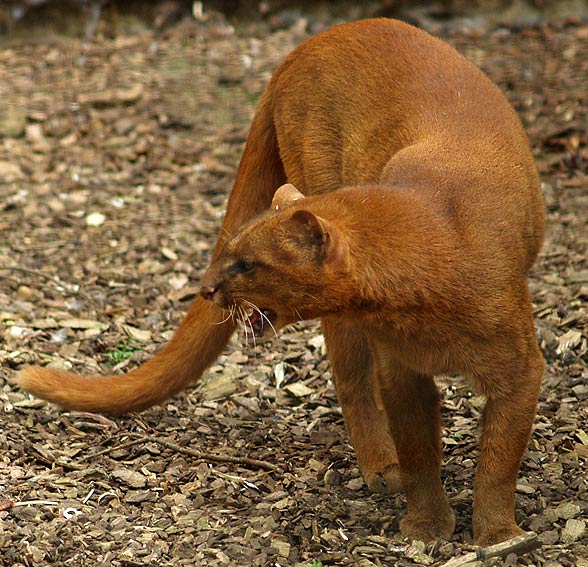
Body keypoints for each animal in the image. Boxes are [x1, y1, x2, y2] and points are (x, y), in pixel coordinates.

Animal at [19, 18, 548, 544]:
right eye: (229, 255)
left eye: (246, 264)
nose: (208, 289)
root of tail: (314, 40)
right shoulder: (401, 372)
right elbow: (419, 454)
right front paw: (426, 529)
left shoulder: (519, 370)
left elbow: (498, 464)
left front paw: (498, 536)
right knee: (350, 378)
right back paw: (381, 468)